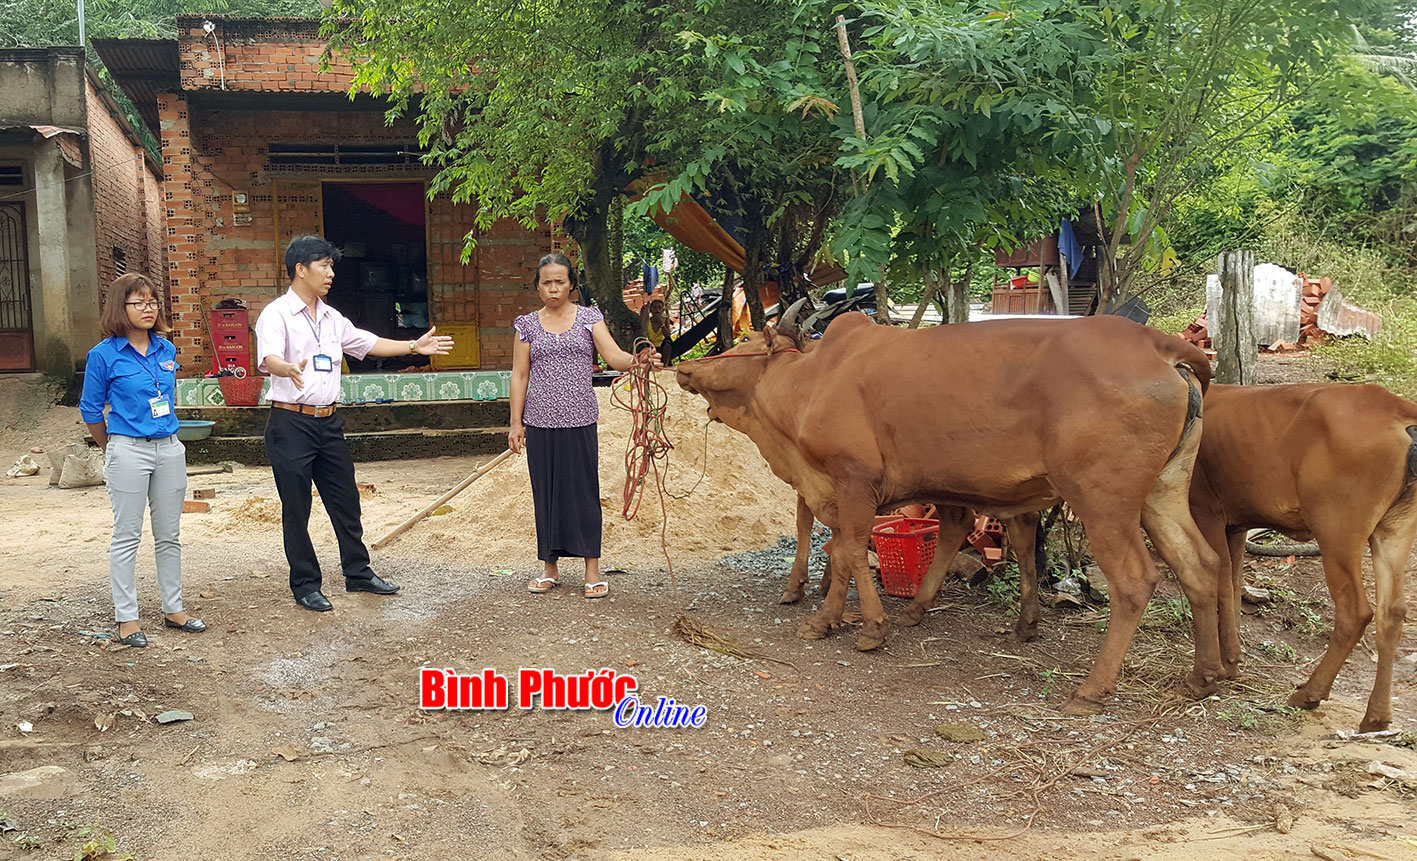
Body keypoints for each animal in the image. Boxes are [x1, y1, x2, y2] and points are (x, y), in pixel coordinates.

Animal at [674, 311, 1218, 713]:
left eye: (745, 339)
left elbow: (848, 550)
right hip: (1163, 493)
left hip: (1103, 501)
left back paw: (1093, 688)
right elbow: (844, 551)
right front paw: (835, 617)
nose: (685, 367)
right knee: (1201, 565)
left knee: (1135, 580)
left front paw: (863, 628)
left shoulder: (853, 481)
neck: (809, 382)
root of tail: (1158, 345)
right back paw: (1205, 675)